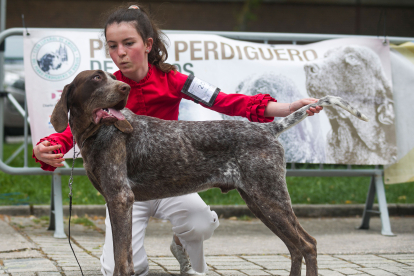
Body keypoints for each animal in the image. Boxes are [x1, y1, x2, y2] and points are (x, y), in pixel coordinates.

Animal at [51, 69, 368, 276]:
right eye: (96, 78)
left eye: (108, 76)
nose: (124, 89)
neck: (96, 133)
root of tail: (268, 128)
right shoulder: (117, 201)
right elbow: (122, 255)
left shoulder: (120, 198)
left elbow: (122, 260)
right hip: (260, 201)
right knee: (295, 247)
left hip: (270, 198)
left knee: (307, 244)